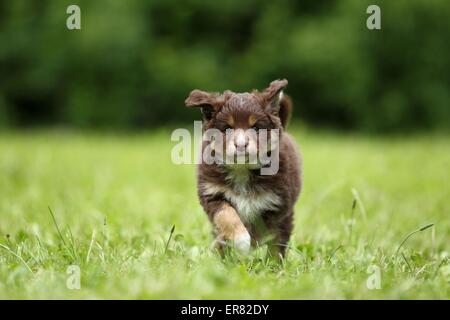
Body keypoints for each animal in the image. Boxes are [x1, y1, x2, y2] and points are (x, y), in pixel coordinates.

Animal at [186, 80, 302, 258]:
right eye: (227, 128)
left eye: (255, 128)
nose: (241, 144)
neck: (242, 170)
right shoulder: (213, 195)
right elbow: (226, 216)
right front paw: (238, 242)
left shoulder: (274, 206)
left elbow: (258, 232)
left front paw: (242, 245)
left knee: (278, 242)